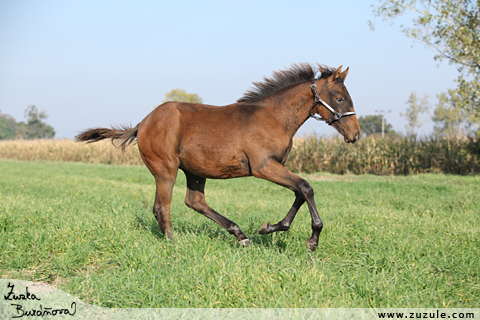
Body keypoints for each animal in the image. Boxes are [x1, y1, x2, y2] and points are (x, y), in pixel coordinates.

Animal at [75, 63, 360, 251]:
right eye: (339, 98)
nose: (355, 135)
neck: (274, 117)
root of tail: (142, 123)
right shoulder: (264, 166)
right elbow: (306, 187)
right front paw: (312, 240)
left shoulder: (278, 166)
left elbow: (300, 192)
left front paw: (268, 228)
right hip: (165, 169)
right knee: (162, 207)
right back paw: (173, 243)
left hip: (195, 171)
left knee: (195, 201)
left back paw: (241, 235)